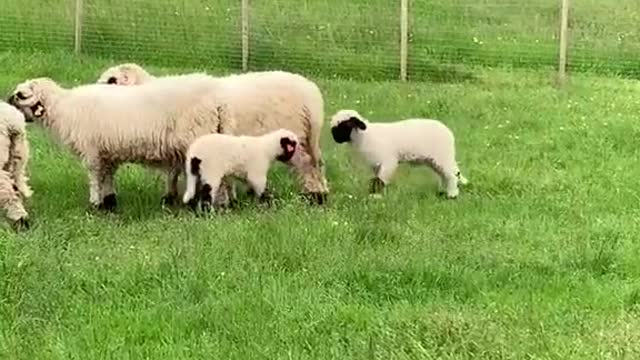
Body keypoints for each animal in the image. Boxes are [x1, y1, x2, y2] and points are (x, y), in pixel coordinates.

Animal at [6, 75, 232, 211]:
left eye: (21, 95)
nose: (6, 105)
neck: (63, 108)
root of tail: (219, 100)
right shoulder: (107, 152)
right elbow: (107, 176)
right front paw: (109, 201)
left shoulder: (92, 151)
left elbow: (94, 177)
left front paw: (95, 203)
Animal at [99, 63, 336, 205]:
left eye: (112, 80)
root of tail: (312, 94)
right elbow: (174, 172)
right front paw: (170, 197)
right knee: (317, 165)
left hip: (296, 139)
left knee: (307, 165)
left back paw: (314, 196)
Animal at [330, 109, 470, 200]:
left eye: (344, 125)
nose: (335, 139)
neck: (366, 137)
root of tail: (448, 132)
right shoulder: (377, 164)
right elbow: (376, 179)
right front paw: (375, 194)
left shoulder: (388, 161)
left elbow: (380, 180)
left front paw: (376, 196)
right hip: (435, 159)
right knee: (444, 175)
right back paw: (442, 191)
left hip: (442, 156)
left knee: (451, 175)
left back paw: (452, 194)